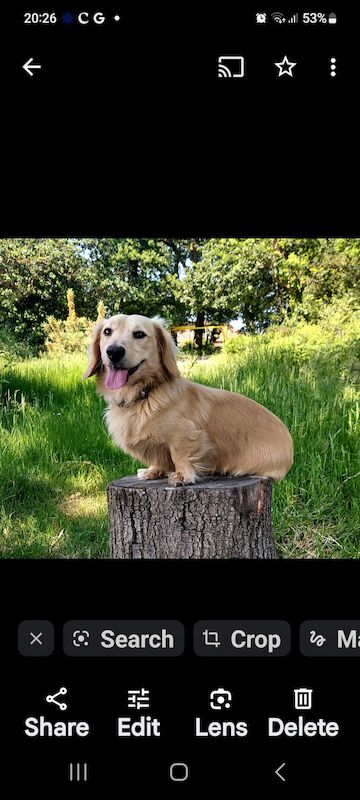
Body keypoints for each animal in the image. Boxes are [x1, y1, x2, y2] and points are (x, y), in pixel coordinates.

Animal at [83, 316, 292, 484]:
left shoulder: (186, 435)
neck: (143, 395)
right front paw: (152, 472)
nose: (114, 351)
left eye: (139, 334)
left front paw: (182, 476)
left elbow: (179, 456)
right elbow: (158, 459)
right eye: (107, 331)